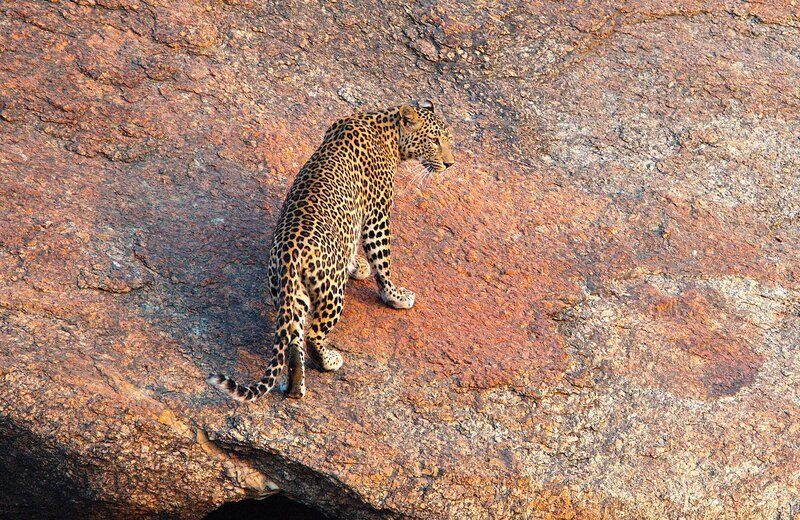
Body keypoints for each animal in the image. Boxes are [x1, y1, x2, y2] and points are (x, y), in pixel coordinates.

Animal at [207, 100, 454, 400]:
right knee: (313, 334)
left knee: (294, 340)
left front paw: (355, 265)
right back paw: (329, 360)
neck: (388, 129)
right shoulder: (377, 215)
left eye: (448, 139)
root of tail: (290, 254)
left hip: (292, 295)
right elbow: (382, 260)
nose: (450, 163)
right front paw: (395, 295)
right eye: (435, 141)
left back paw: (296, 387)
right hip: (331, 292)